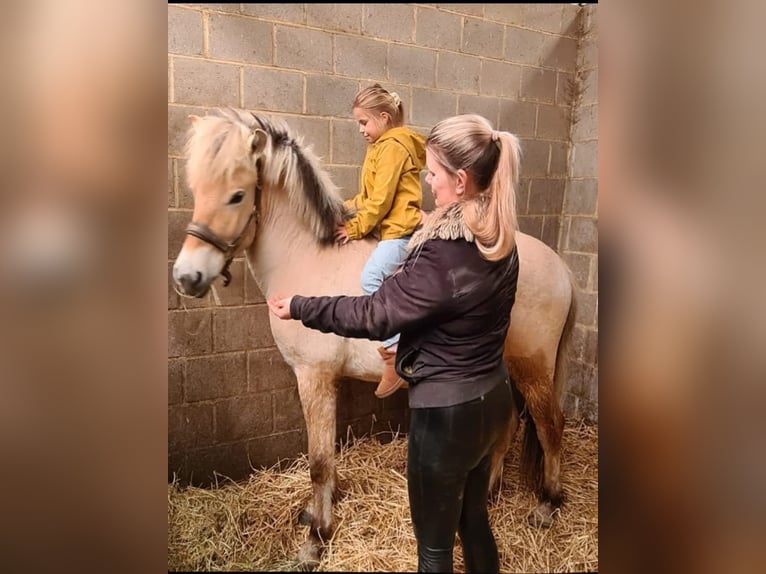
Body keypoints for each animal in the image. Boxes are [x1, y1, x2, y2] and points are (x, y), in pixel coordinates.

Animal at [170, 108, 576, 568]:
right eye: (195, 190)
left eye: (237, 196)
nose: (187, 277)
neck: (306, 255)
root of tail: (562, 267)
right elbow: (327, 457)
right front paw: (318, 512)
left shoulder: (314, 377)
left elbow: (319, 461)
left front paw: (316, 537)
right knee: (508, 426)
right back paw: (491, 491)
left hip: (533, 367)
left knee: (551, 425)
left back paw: (547, 503)